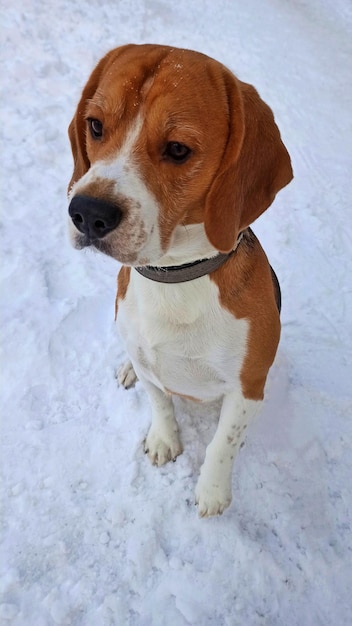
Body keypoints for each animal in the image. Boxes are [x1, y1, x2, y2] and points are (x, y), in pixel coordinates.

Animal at [67, 42, 292, 512]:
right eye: (95, 125)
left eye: (177, 149)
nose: (88, 213)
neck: (177, 278)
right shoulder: (150, 363)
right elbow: (160, 403)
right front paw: (163, 440)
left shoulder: (247, 389)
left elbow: (224, 442)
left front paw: (212, 491)